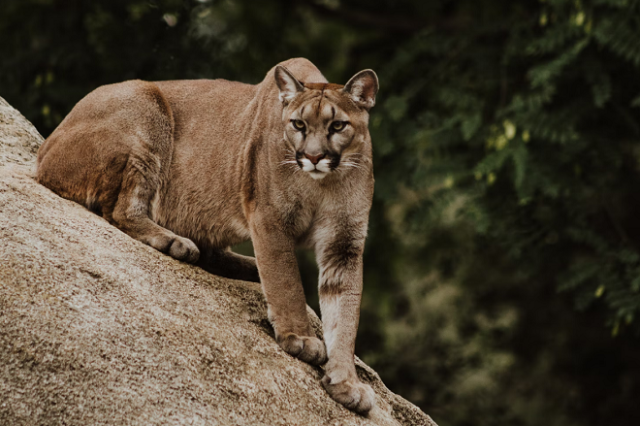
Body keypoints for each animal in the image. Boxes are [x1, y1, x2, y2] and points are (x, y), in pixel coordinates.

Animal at [36, 58, 380, 414]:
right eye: (298, 124)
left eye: (337, 126)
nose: (313, 157)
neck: (322, 183)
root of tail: (43, 151)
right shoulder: (270, 220)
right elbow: (287, 283)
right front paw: (300, 339)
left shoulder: (344, 244)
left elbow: (345, 315)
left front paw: (346, 383)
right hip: (146, 109)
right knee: (121, 210)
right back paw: (175, 242)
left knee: (212, 251)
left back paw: (243, 266)